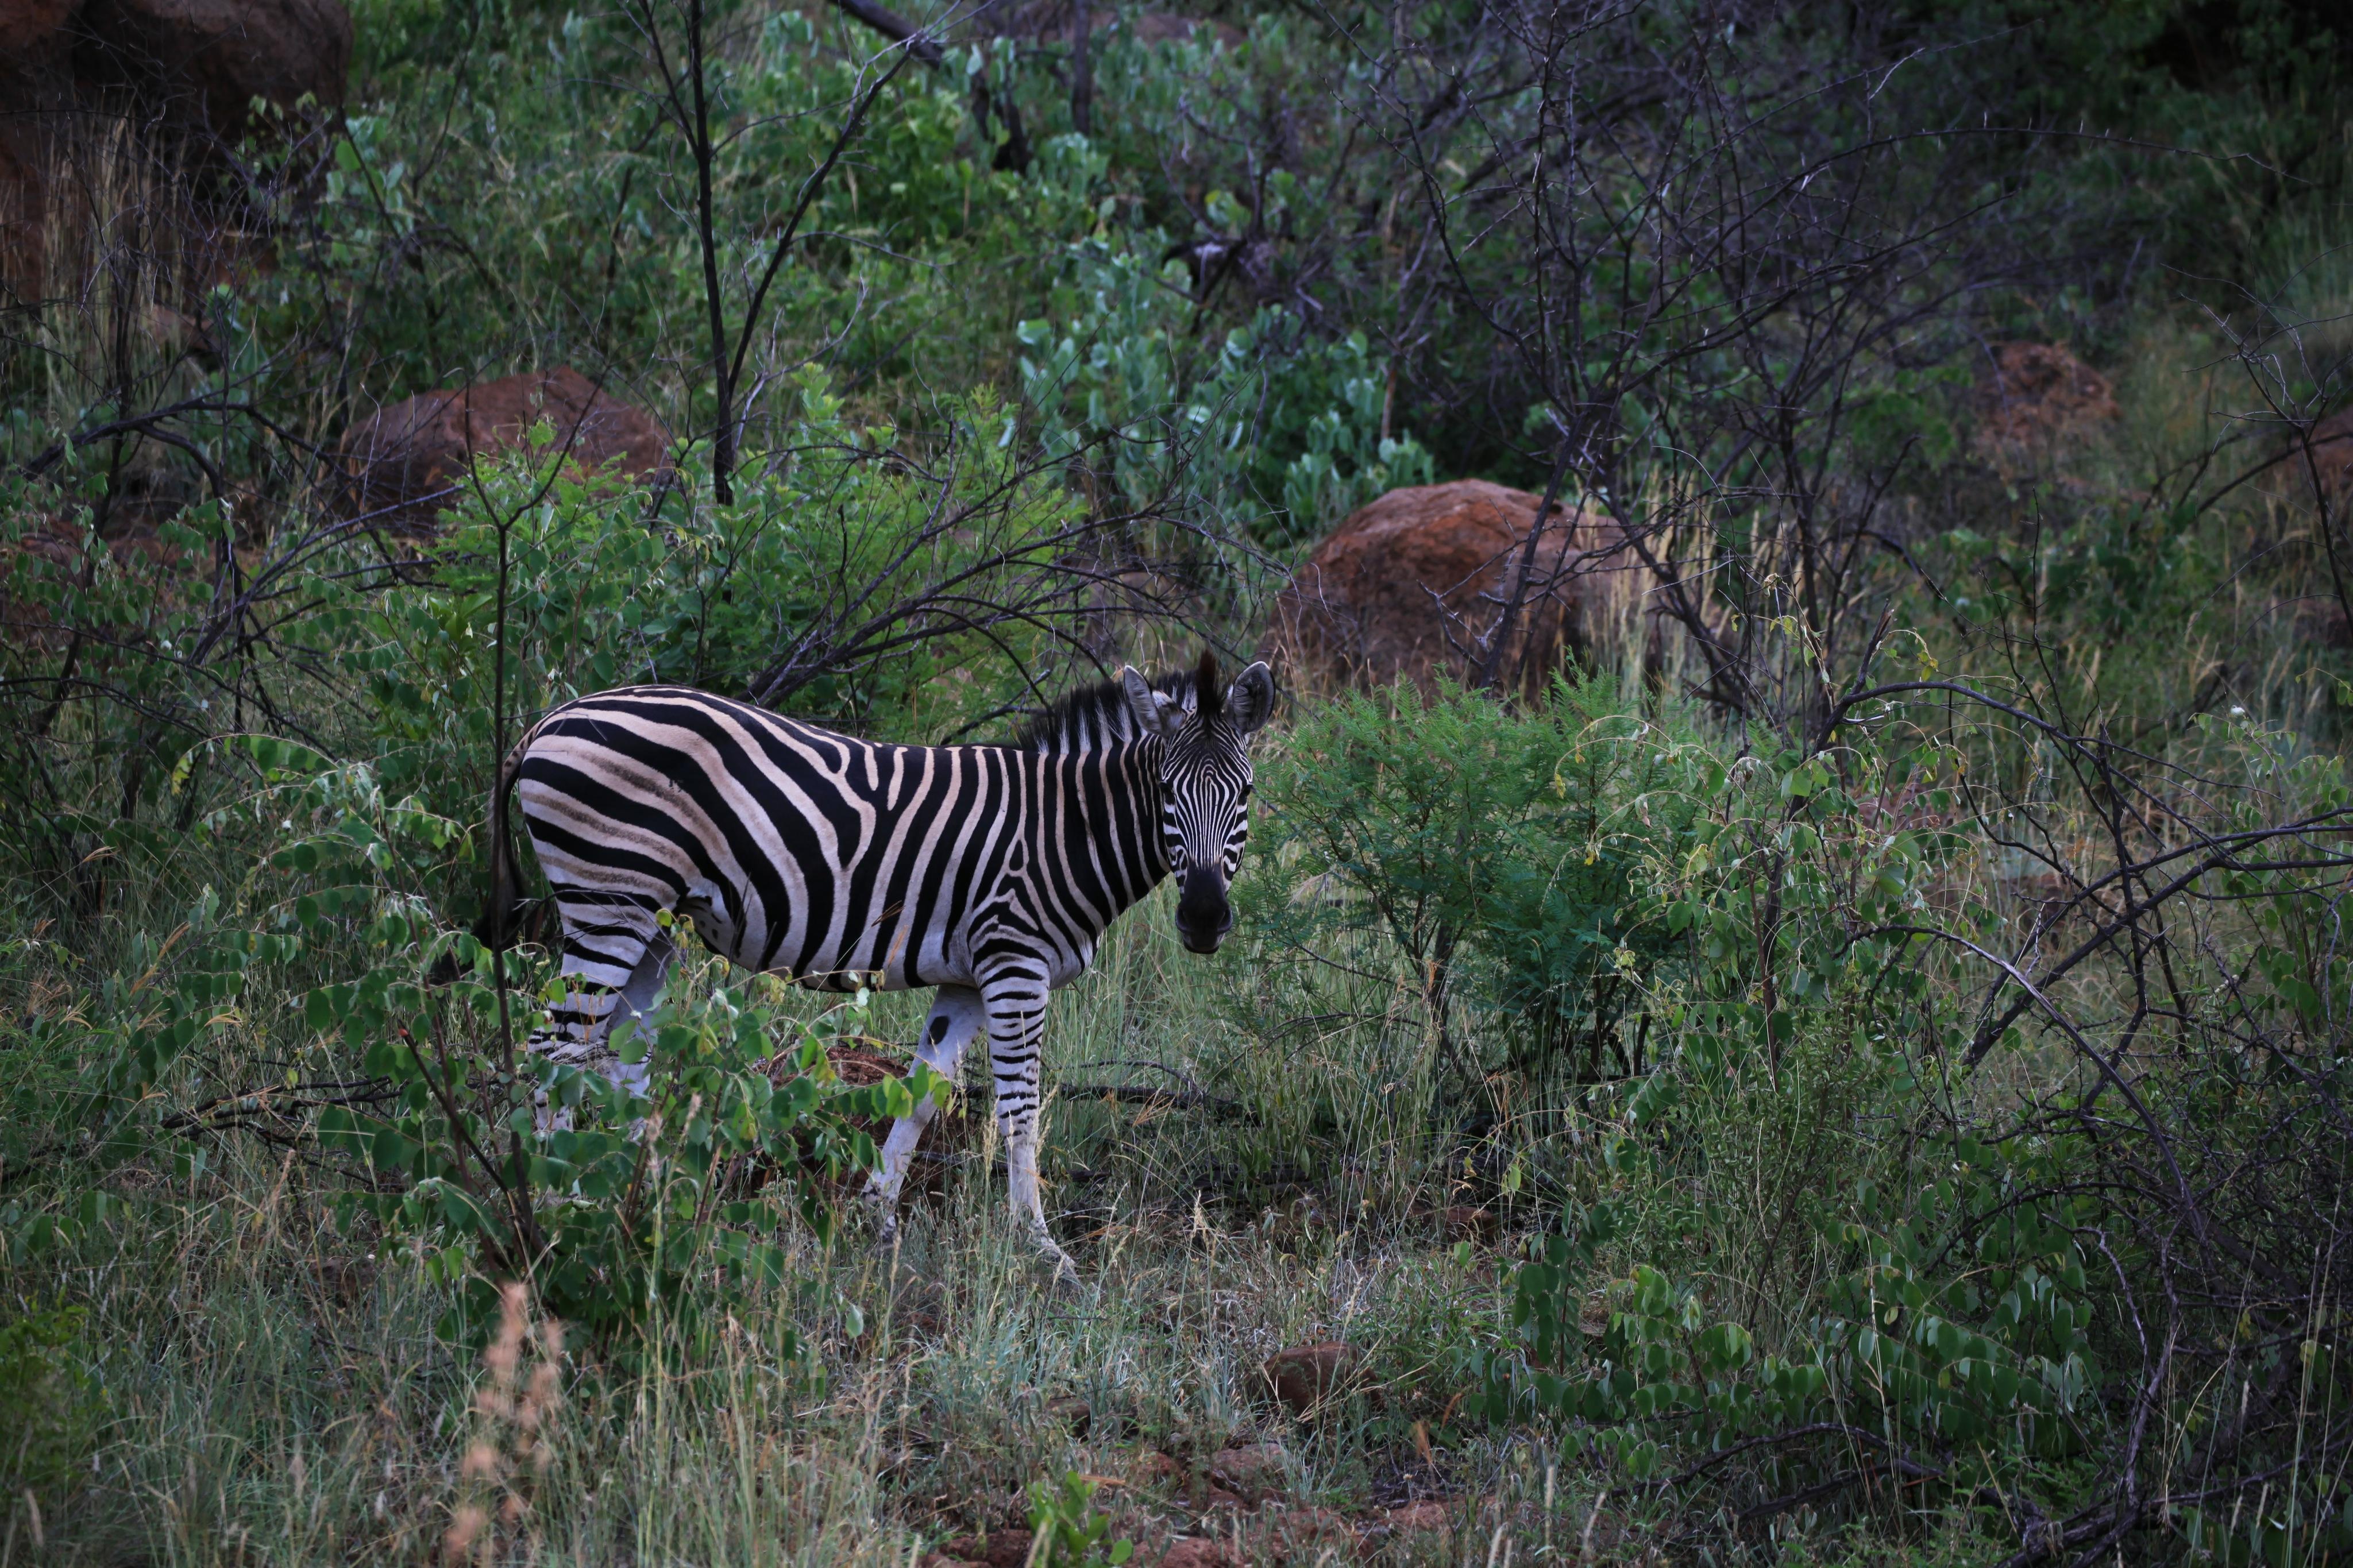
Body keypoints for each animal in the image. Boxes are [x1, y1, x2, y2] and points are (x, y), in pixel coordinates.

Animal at [470, 648, 1280, 1279]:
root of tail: (548, 720)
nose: (1203, 918)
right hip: (609, 902)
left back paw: (653, 1197)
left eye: (1244, 794)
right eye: (1166, 794)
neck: (1065, 829)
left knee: (620, 1056)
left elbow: (926, 1091)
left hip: (650, 922)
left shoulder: (967, 975)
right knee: (554, 1052)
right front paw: (1041, 1248)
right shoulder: (1015, 961)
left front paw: (877, 1220)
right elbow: (1020, 1110)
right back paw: (556, 1209)